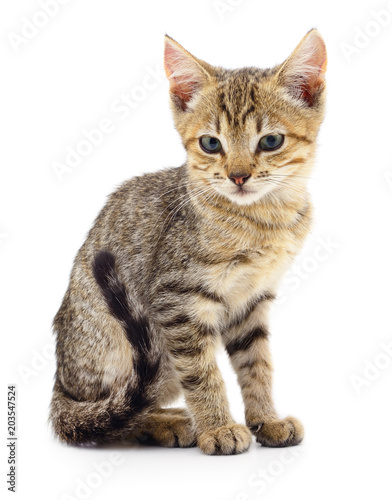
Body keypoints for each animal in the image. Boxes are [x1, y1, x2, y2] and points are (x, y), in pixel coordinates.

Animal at [51, 29, 328, 456]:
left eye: (271, 141)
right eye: (211, 144)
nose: (238, 176)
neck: (262, 221)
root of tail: (61, 384)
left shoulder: (252, 300)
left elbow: (257, 364)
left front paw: (266, 419)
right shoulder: (177, 300)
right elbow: (201, 371)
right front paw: (217, 427)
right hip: (132, 346)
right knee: (116, 414)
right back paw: (170, 423)